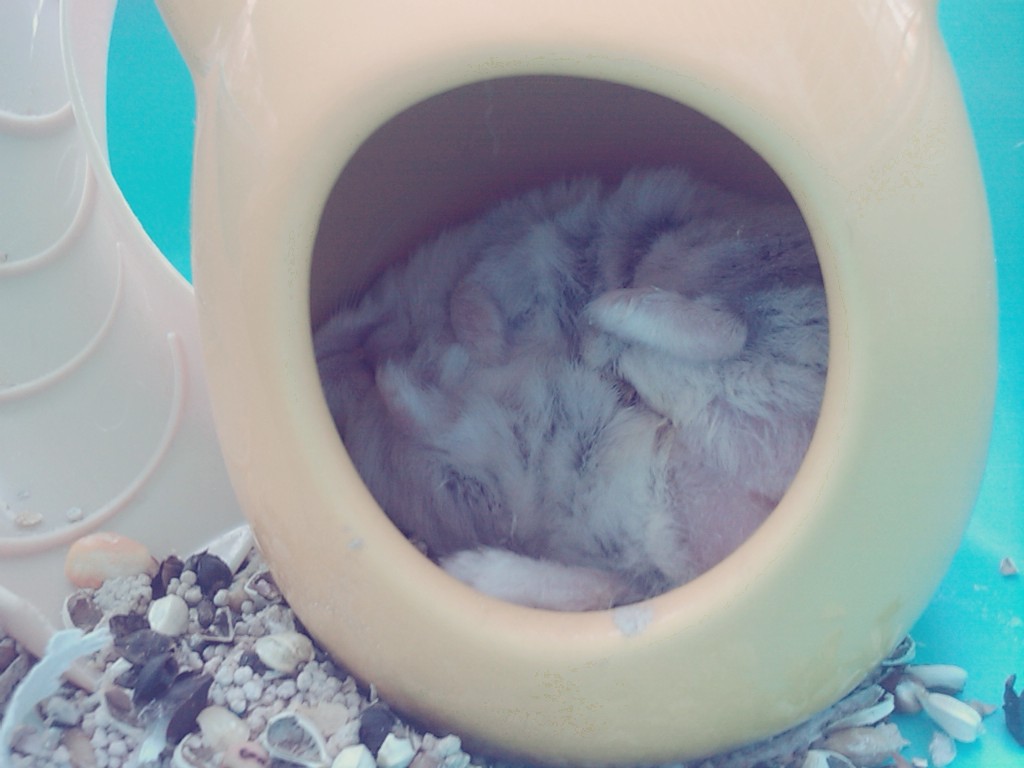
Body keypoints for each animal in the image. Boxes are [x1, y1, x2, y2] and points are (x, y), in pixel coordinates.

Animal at [314, 167, 828, 611]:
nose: (322, 349)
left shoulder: (512, 247)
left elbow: (469, 299)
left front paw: (474, 347)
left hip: (693, 248)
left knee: (723, 325)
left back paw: (604, 326)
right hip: (655, 547)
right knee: (612, 584)